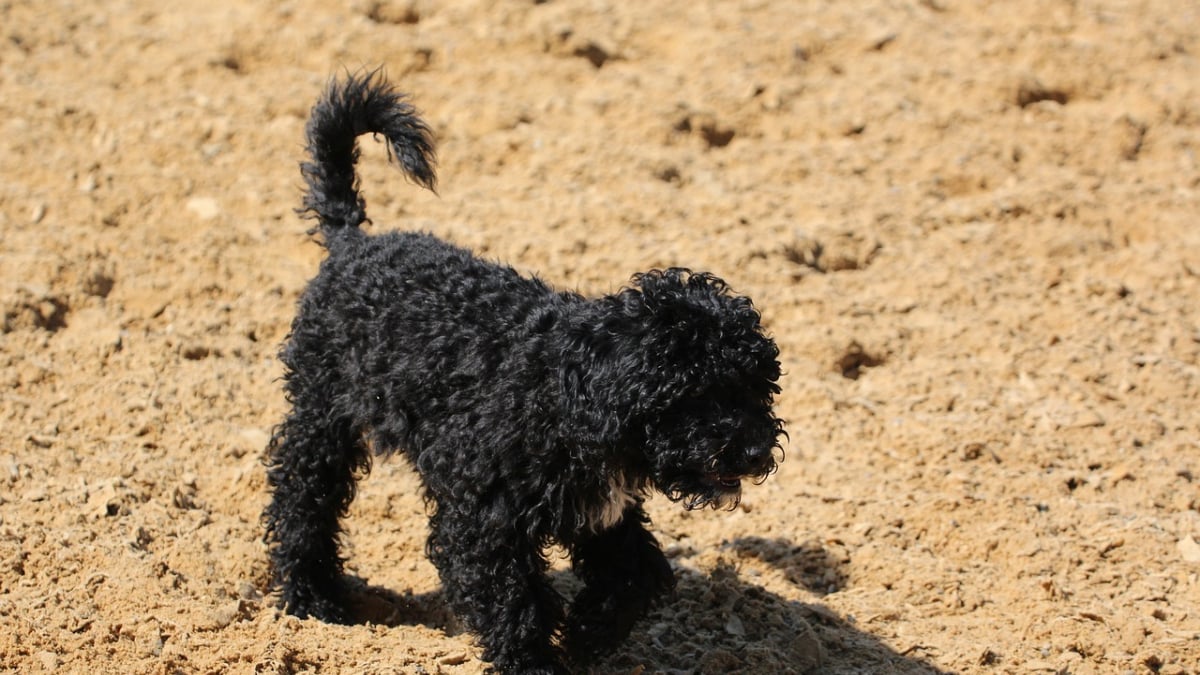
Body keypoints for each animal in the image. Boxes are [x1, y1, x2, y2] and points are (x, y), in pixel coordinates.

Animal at [264, 70, 787, 667]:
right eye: (693, 392)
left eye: (758, 386)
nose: (755, 452)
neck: (567, 392)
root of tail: (353, 242)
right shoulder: (485, 520)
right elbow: (515, 604)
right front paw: (535, 662)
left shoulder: (602, 516)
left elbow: (636, 577)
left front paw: (587, 639)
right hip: (323, 413)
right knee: (301, 499)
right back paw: (312, 602)